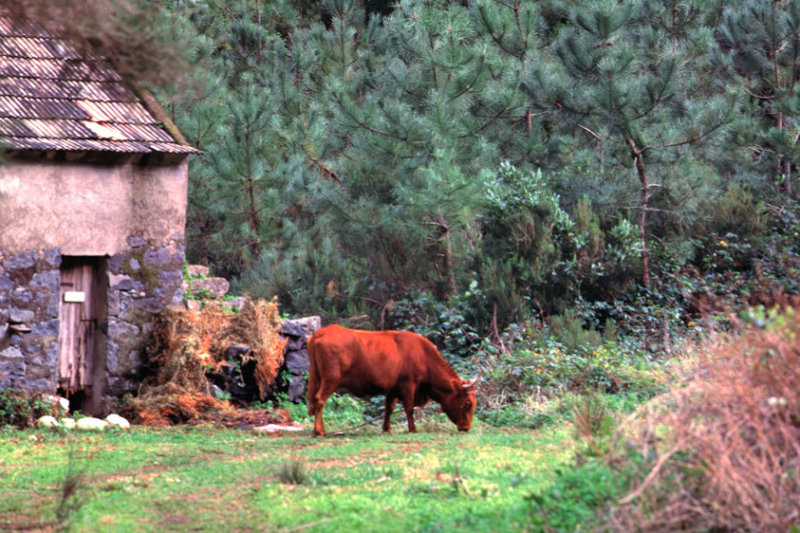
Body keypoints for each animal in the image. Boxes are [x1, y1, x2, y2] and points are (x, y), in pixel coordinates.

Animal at [308, 324, 478, 436]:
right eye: (467, 403)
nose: (467, 427)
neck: (423, 355)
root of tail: (323, 331)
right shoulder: (408, 385)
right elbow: (409, 408)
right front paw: (413, 429)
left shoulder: (393, 388)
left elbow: (389, 408)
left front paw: (386, 429)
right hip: (330, 380)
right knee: (320, 400)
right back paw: (320, 431)